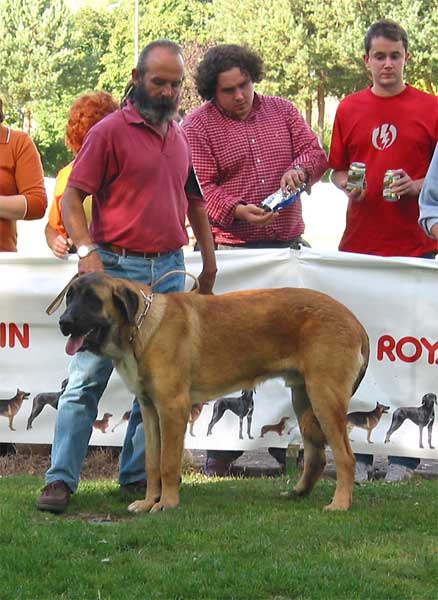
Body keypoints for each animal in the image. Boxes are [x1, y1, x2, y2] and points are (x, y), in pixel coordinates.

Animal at [58, 272, 370, 510]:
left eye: (92, 300)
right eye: (70, 297)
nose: (63, 323)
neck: (140, 328)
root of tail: (356, 321)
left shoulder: (172, 408)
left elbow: (167, 462)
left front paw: (166, 504)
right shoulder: (149, 410)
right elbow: (152, 462)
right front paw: (148, 502)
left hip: (324, 398)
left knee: (345, 457)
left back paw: (340, 503)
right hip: (304, 399)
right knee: (317, 456)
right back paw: (298, 493)